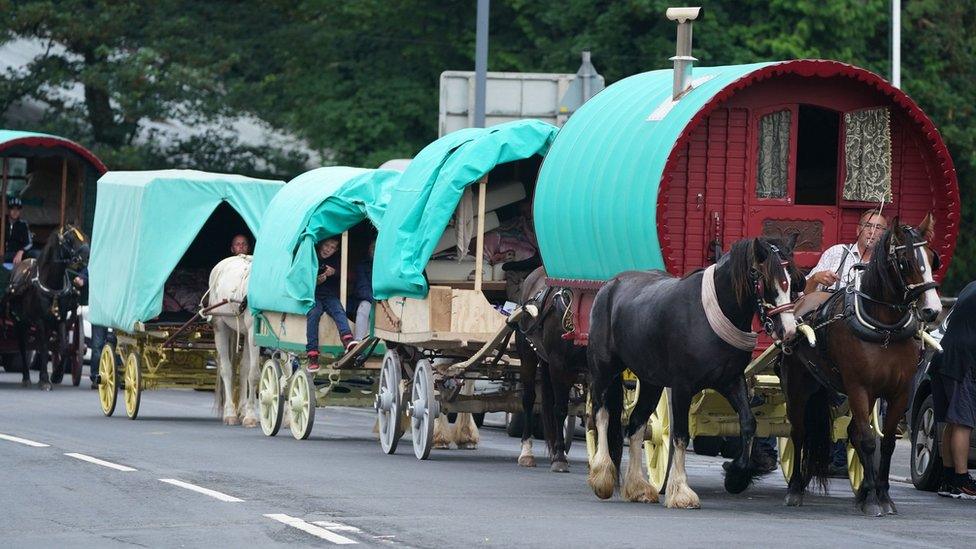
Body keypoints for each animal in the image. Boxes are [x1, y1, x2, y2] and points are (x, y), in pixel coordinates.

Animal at [4, 226, 89, 390]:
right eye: (70, 239)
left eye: (86, 237)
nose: (86, 257)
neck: (51, 285)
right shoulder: (39, 321)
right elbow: (43, 347)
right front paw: (44, 379)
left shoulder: (60, 319)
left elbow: (64, 347)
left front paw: (55, 375)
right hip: (19, 322)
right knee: (23, 347)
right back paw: (26, 377)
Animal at [207, 255, 260, 426]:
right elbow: (254, 375)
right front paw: (251, 417)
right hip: (220, 326)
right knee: (227, 369)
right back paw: (230, 413)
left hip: (244, 332)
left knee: (243, 369)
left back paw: (242, 410)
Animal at [510, 266, 588, 470]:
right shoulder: (558, 364)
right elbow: (559, 409)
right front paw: (560, 456)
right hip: (527, 354)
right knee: (529, 399)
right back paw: (527, 451)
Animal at [588, 233, 800, 508]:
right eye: (762, 277)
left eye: (794, 281)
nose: (789, 330)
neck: (708, 315)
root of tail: (611, 285)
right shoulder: (682, 387)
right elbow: (680, 435)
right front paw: (681, 491)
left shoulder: (731, 381)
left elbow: (748, 423)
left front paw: (736, 475)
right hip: (604, 369)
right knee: (601, 415)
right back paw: (602, 475)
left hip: (651, 380)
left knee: (636, 424)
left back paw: (638, 487)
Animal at [780, 214, 940, 512]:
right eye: (905, 261)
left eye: (932, 258)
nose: (932, 310)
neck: (884, 329)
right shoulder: (858, 387)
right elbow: (866, 440)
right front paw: (874, 500)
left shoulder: (899, 392)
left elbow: (884, 442)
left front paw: (882, 494)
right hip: (797, 385)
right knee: (799, 431)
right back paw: (795, 487)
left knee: (849, 431)